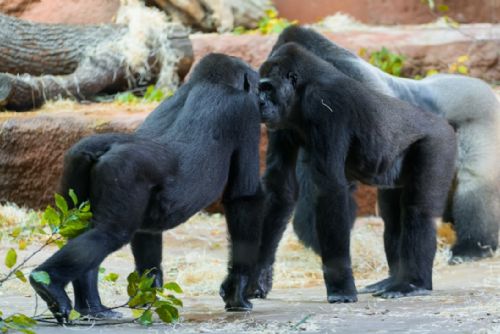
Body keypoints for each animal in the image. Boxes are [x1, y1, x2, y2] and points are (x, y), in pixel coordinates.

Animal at [30, 53, 266, 322]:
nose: (262, 100)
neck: (208, 82)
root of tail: (105, 148)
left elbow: (147, 233)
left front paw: (148, 290)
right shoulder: (245, 113)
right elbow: (244, 197)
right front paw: (238, 288)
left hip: (75, 161)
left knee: (81, 229)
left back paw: (92, 308)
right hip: (123, 170)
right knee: (109, 233)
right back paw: (49, 286)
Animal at [254, 41, 458, 302]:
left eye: (267, 88)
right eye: (259, 89)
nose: (259, 104)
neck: (301, 92)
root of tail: (444, 123)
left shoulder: (326, 104)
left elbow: (330, 189)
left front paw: (340, 285)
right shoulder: (280, 122)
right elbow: (280, 187)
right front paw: (257, 274)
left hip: (439, 141)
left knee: (418, 211)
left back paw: (413, 283)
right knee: (394, 217)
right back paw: (394, 279)